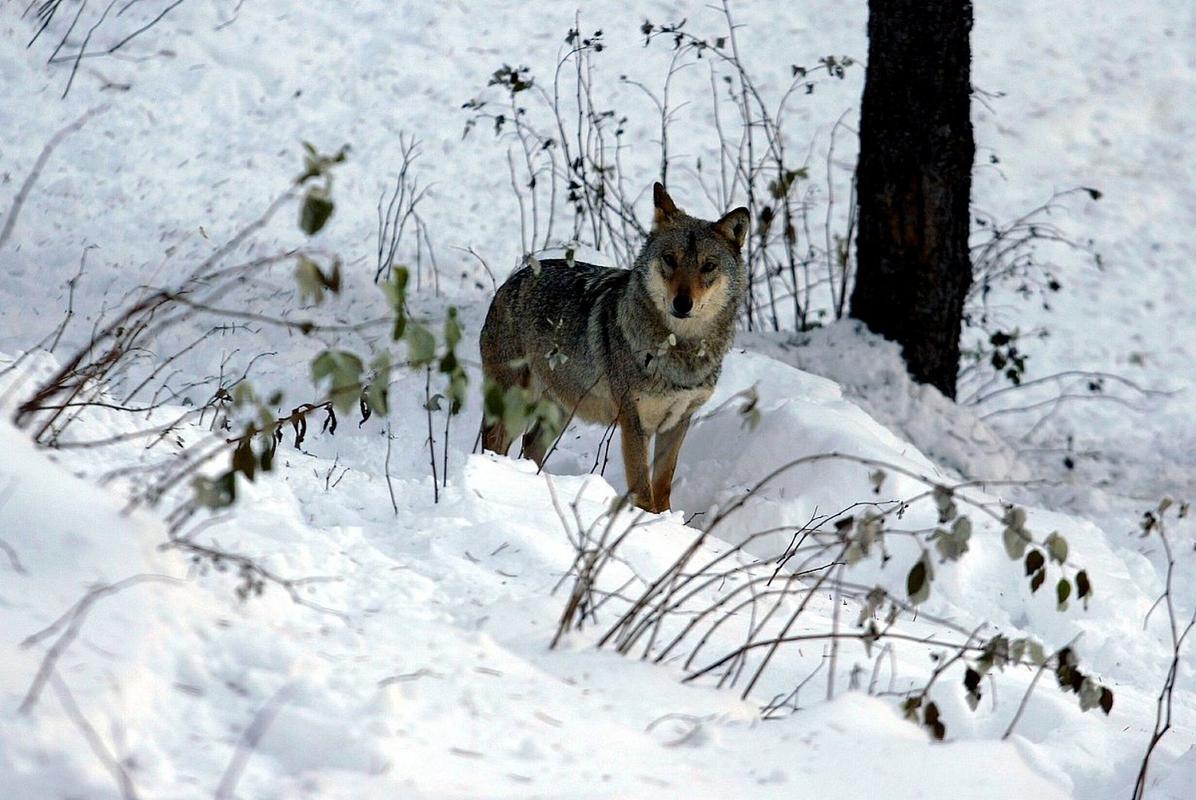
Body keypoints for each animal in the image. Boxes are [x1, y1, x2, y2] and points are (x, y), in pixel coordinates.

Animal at [478, 182, 746, 511]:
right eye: (670, 259)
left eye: (708, 266)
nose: (682, 303)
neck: (681, 350)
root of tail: (512, 280)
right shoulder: (634, 423)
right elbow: (643, 491)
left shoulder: (678, 422)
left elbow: (663, 485)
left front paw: (667, 519)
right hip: (515, 405)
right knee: (494, 441)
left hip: (560, 410)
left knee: (530, 445)